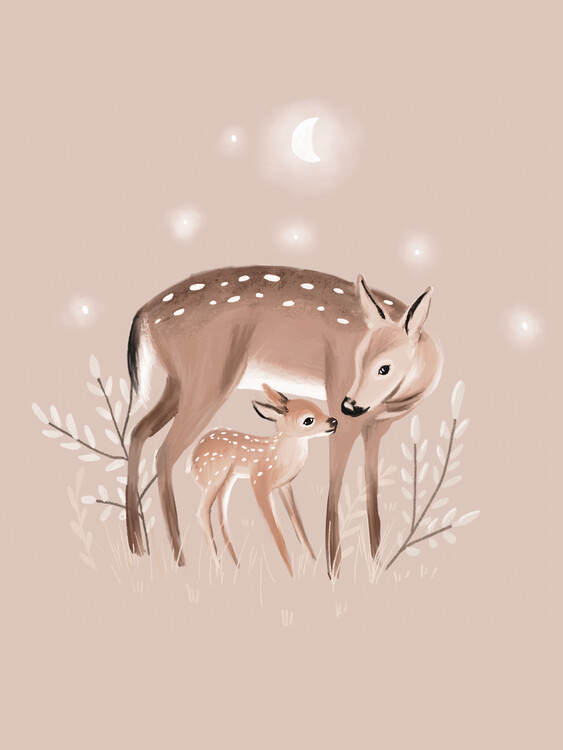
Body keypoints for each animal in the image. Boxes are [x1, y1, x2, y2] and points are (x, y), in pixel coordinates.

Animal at [186, 383, 338, 575]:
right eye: (308, 420)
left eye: (318, 408)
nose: (333, 421)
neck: (278, 457)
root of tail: (190, 459)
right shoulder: (259, 480)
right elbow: (276, 530)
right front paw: (291, 573)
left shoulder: (285, 485)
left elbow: (297, 523)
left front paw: (313, 562)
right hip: (215, 475)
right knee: (202, 510)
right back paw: (219, 567)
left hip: (227, 480)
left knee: (222, 515)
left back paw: (236, 566)